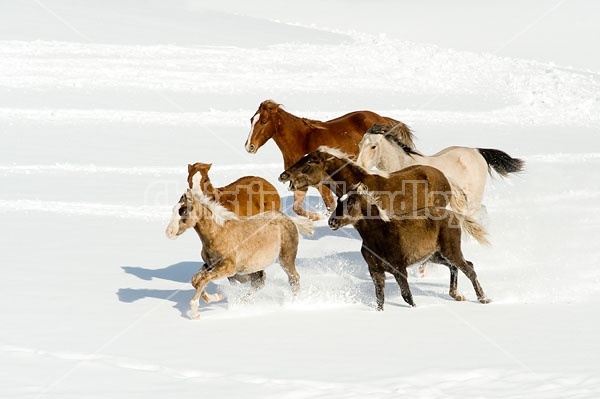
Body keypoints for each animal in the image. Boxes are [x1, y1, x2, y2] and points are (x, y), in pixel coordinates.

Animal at [165, 189, 314, 320]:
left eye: (184, 211)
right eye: (174, 210)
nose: (169, 233)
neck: (217, 233)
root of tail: (289, 219)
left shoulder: (228, 268)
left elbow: (203, 280)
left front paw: (195, 312)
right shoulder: (210, 264)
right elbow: (196, 280)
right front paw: (215, 297)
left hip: (286, 258)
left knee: (293, 279)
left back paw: (293, 303)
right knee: (259, 283)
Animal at [244, 99, 412, 220]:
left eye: (264, 121)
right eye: (251, 120)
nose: (249, 146)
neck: (302, 141)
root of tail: (381, 118)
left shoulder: (322, 184)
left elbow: (331, 205)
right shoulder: (299, 183)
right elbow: (297, 208)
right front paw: (317, 217)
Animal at [328, 184, 492, 310]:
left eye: (351, 202)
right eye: (338, 200)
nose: (331, 222)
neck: (379, 234)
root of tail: (454, 214)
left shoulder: (399, 268)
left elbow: (406, 295)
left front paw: (415, 309)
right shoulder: (375, 270)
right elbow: (380, 298)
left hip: (450, 251)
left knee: (469, 269)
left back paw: (483, 299)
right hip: (435, 255)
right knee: (459, 266)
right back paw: (457, 295)